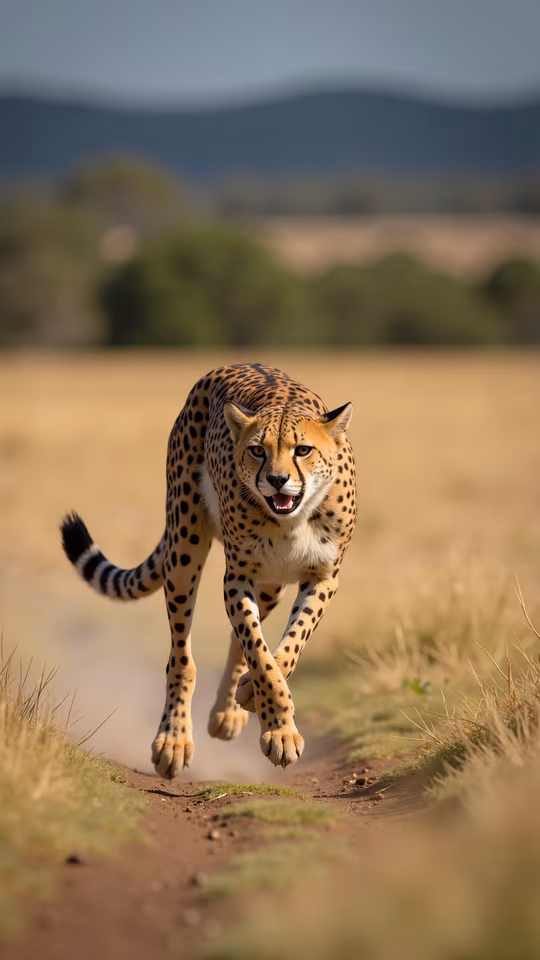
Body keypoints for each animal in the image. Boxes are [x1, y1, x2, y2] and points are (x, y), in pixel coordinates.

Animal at [61, 363, 356, 777]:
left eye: (303, 450)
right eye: (257, 450)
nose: (277, 480)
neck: (291, 520)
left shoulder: (322, 577)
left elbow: (285, 649)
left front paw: (254, 701)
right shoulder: (237, 576)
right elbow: (260, 654)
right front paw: (279, 727)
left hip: (269, 585)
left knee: (239, 642)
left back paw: (229, 711)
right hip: (184, 548)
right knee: (181, 659)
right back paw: (173, 741)